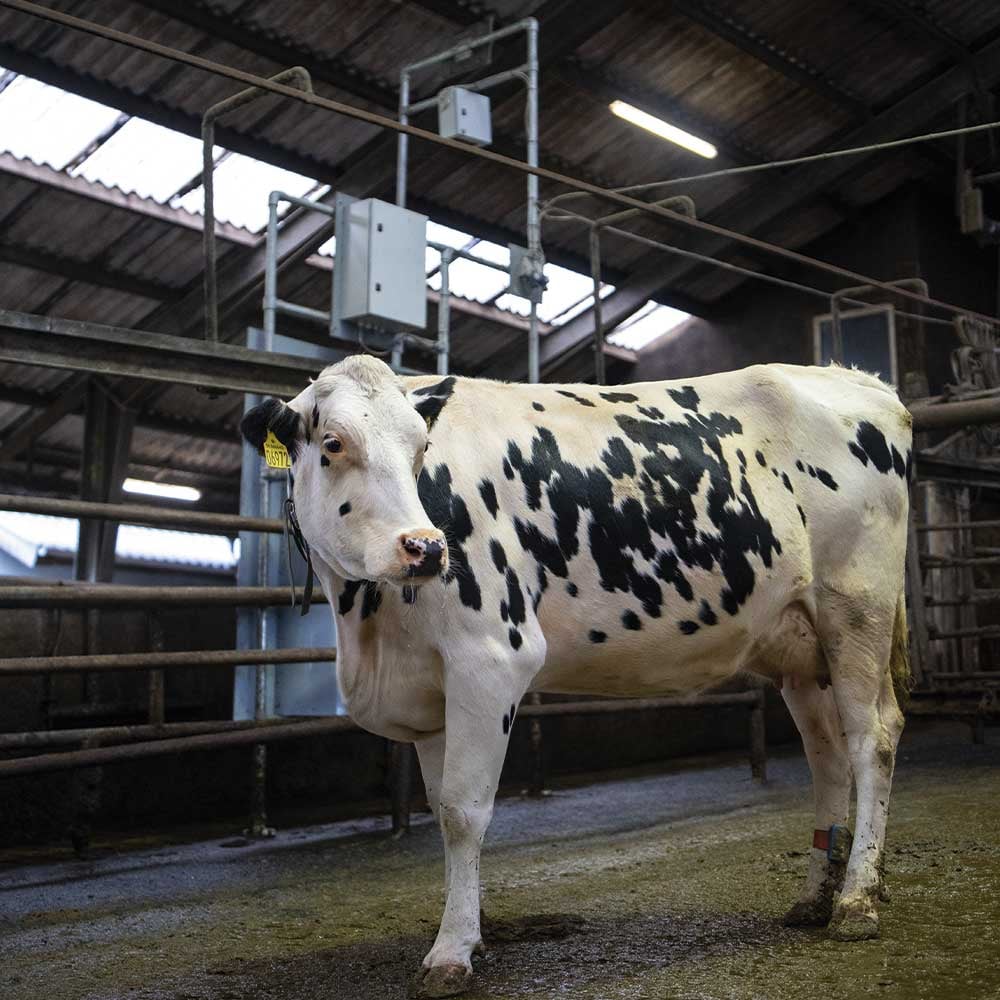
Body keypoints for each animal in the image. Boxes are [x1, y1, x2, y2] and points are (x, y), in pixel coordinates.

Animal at [241, 356, 912, 998]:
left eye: (420, 446)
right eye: (332, 442)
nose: (426, 548)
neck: (370, 628)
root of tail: (860, 380)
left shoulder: (491, 657)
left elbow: (464, 812)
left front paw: (452, 952)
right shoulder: (430, 693)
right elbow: (442, 810)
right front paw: (472, 931)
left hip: (857, 611)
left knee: (870, 741)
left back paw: (856, 900)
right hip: (801, 646)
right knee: (827, 757)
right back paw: (815, 897)